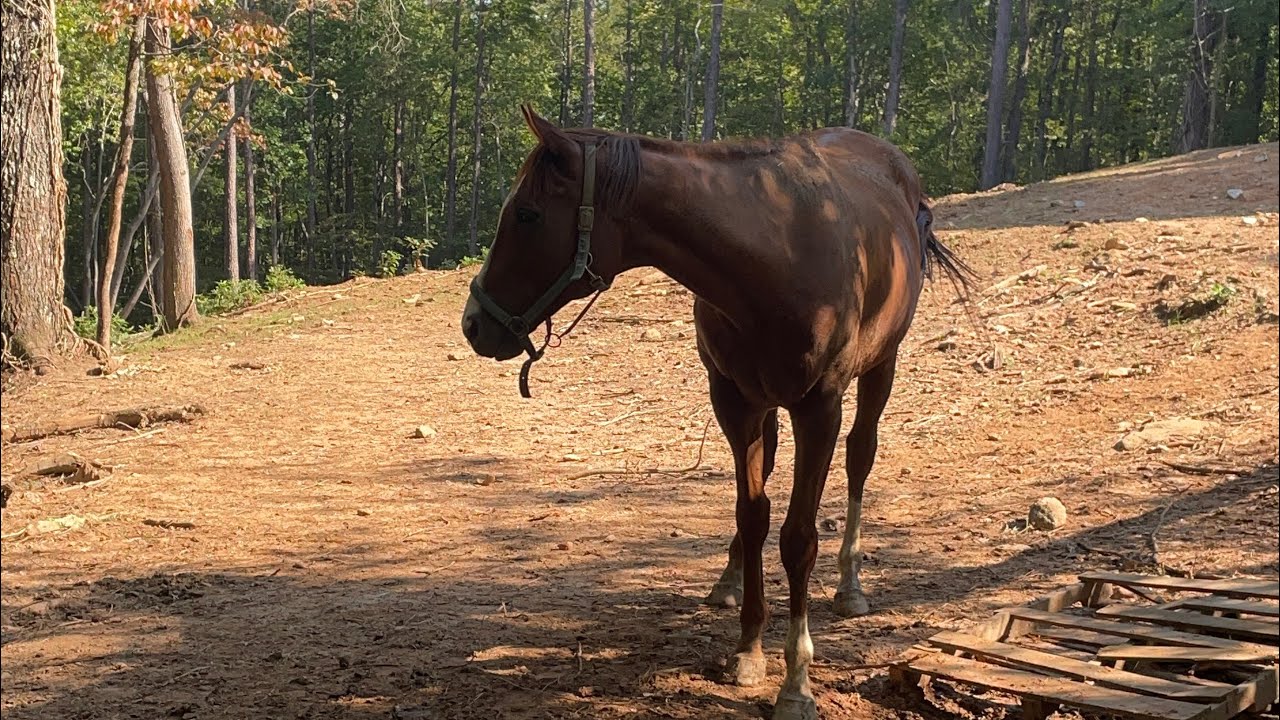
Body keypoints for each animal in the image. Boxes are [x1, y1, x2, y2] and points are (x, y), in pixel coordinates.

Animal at [461, 105, 973, 719]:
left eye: (528, 214)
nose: (473, 323)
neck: (776, 257)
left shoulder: (819, 408)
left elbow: (798, 538)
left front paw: (796, 682)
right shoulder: (733, 401)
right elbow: (752, 517)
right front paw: (749, 648)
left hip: (880, 369)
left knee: (859, 458)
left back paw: (850, 586)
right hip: (764, 407)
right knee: (766, 477)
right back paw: (730, 581)